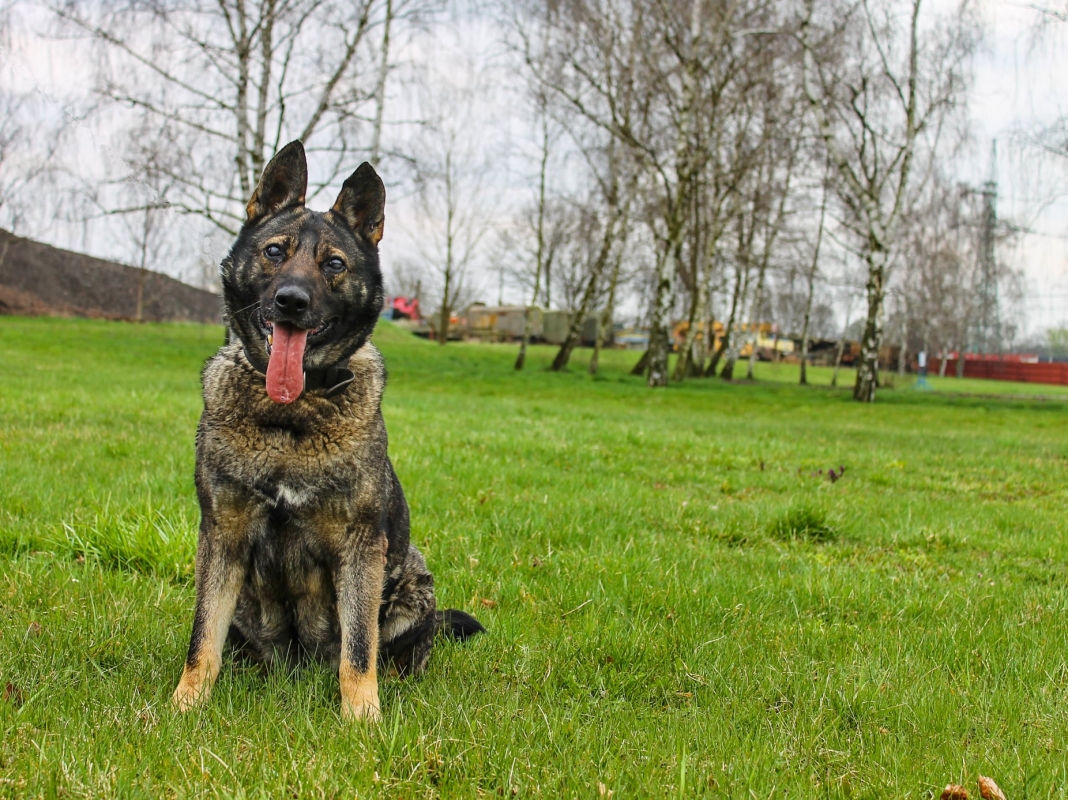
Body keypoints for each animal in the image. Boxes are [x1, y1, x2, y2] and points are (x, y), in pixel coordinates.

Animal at [171, 139, 484, 722]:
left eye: (333, 264)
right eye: (275, 252)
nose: (291, 300)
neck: (290, 416)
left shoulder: (360, 547)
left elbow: (358, 648)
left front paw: (362, 717)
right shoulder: (222, 535)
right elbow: (203, 638)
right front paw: (184, 704)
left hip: (411, 577)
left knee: (395, 649)